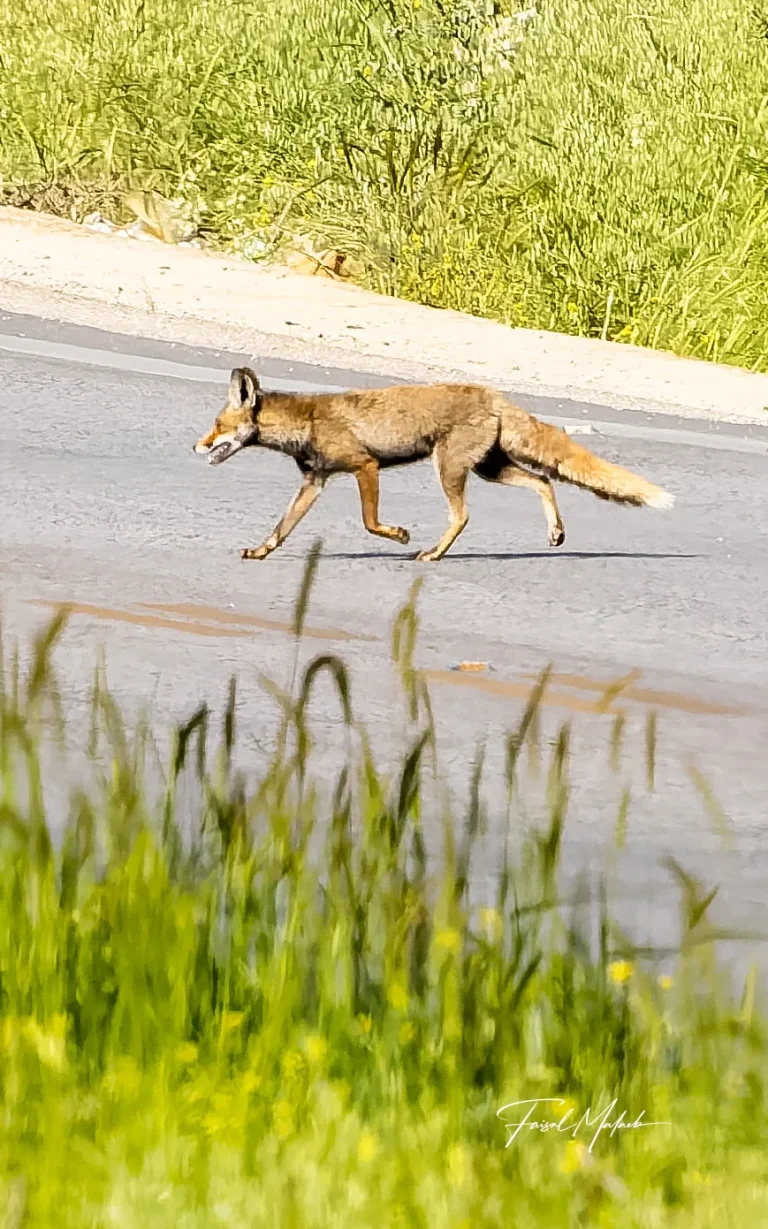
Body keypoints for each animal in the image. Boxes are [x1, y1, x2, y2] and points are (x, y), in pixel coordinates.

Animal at [193, 367, 674, 562]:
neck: (307, 422)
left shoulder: (364, 465)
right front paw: (259, 551)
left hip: (450, 469)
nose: (196, 446)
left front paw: (400, 536)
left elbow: (371, 522)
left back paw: (432, 554)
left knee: (462, 516)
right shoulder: (316, 480)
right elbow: (281, 529)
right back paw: (555, 532)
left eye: (217, 426)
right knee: (543, 481)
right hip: (489, 468)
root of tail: (494, 394)